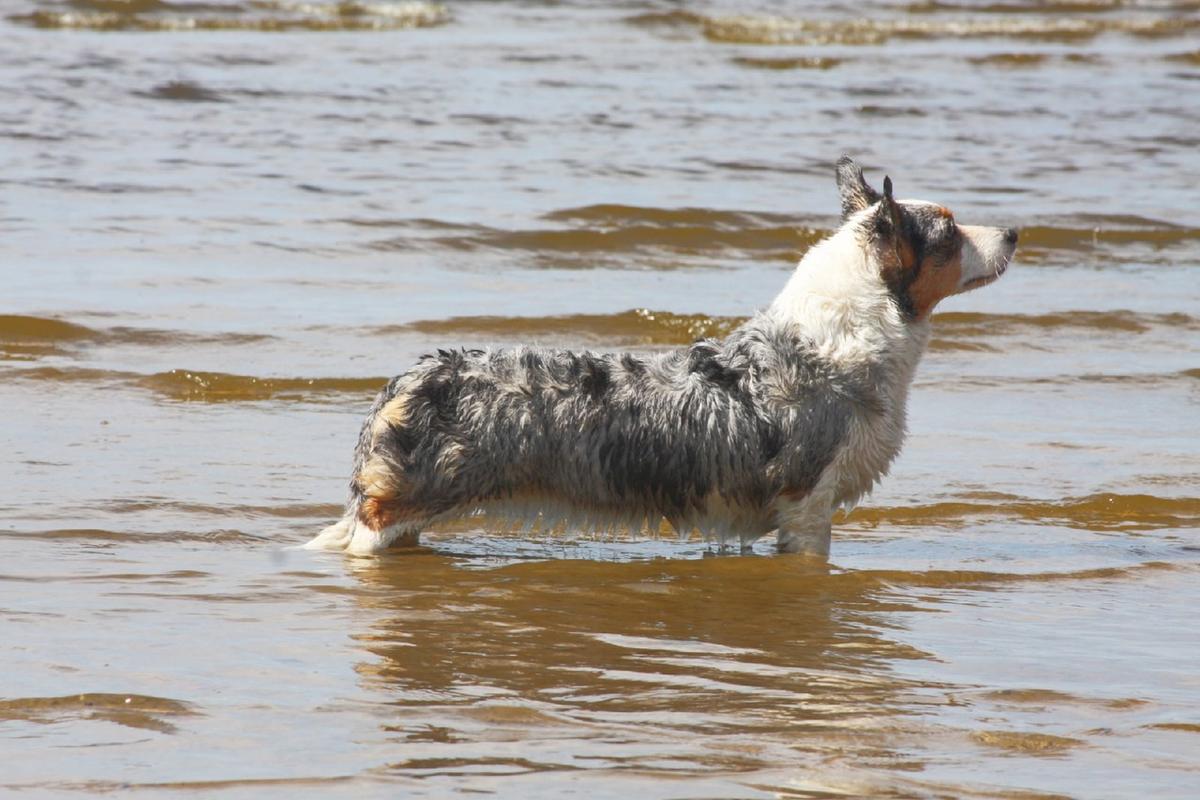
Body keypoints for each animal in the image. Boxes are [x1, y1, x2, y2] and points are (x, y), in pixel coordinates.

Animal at [304, 155, 1017, 556]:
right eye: (949, 232)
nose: (1015, 231)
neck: (841, 338)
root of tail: (406, 380)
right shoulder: (808, 503)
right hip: (394, 513)